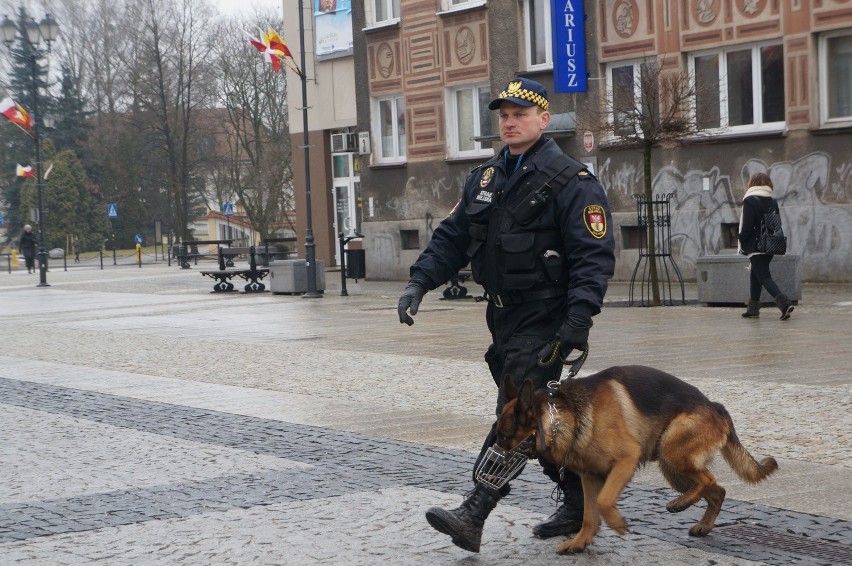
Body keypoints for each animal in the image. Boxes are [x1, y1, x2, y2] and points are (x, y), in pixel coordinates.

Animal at [492, 366, 780, 556]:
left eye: (504, 437)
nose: (491, 472)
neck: (563, 416)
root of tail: (717, 406)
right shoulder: (590, 477)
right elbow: (589, 515)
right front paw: (580, 542)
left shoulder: (625, 461)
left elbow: (604, 501)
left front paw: (617, 524)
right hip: (672, 468)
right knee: (717, 489)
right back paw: (703, 524)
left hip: (671, 452)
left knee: (708, 479)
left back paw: (680, 504)